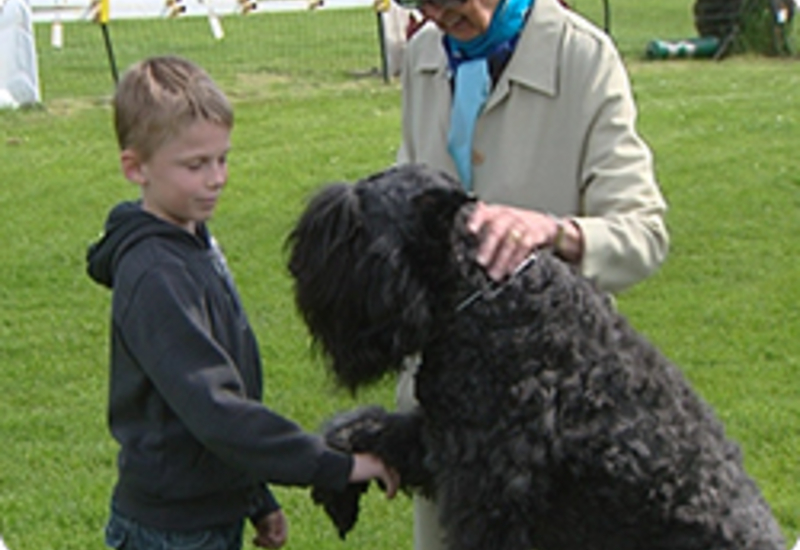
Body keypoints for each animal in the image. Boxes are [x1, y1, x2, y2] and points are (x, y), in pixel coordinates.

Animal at [286, 164, 780, 550]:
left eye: (353, 227)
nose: (297, 268)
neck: (489, 297)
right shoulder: (441, 440)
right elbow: (357, 425)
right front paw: (338, 491)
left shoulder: (486, 493)